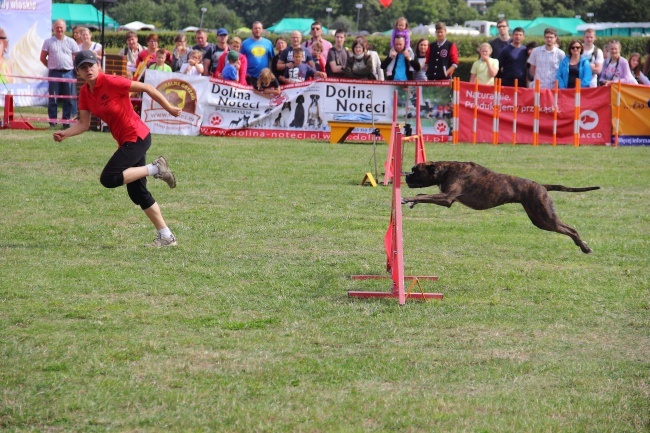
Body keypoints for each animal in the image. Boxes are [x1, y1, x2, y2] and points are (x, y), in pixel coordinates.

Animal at [402, 160, 600, 251]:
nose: (406, 176)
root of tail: (541, 186)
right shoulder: (443, 197)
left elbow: (424, 195)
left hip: (546, 217)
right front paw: (411, 202)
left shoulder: (446, 199)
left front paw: (405, 199)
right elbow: (422, 195)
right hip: (539, 219)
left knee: (571, 229)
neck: (446, 169)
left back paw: (584, 248)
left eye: (416, 170)